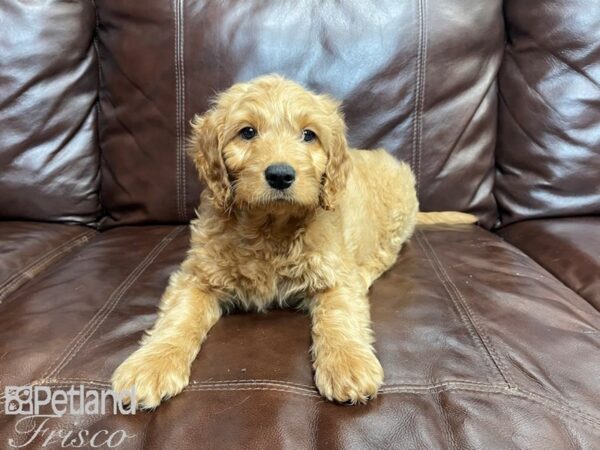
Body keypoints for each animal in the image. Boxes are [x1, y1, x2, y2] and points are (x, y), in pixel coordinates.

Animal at [112, 74, 476, 408]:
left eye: (308, 135)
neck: (271, 227)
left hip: (399, 210)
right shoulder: (196, 277)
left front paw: (347, 364)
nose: (280, 175)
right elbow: (178, 317)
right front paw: (150, 365)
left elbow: (339, 315)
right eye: (247, 132)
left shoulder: (336, 275)